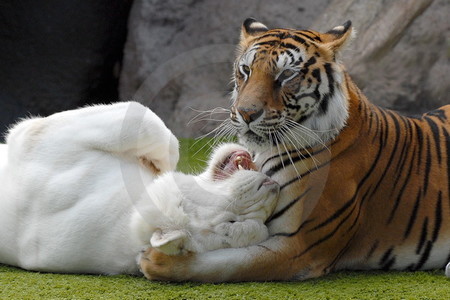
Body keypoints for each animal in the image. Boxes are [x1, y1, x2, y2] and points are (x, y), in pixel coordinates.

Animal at [141, 18, 450, 282]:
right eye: (246, 70)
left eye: (286, 75)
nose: (246, 113)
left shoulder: (300, 247)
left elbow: (224, 263)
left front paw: (155, 259)